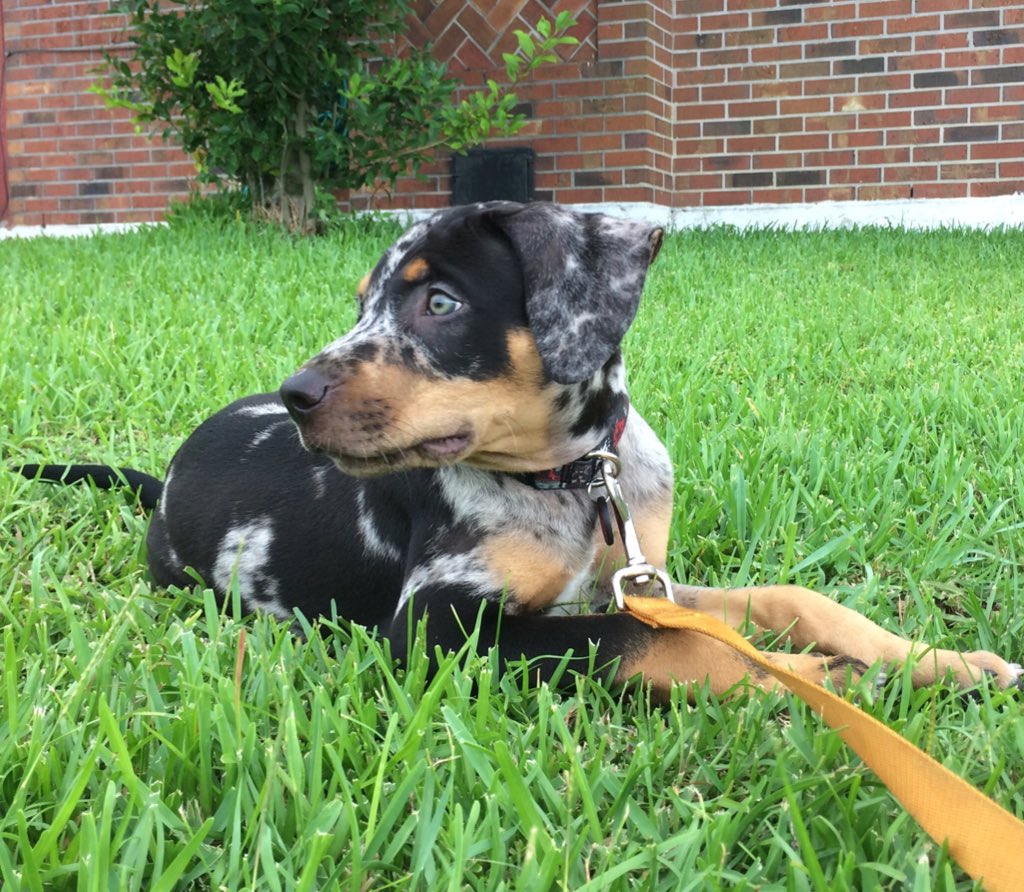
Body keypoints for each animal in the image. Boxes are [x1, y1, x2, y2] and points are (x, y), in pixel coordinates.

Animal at [18, 202, 1024, 696]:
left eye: (441, 302)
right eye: (363, 304)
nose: (298, 395)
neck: (571, 480)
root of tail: (165, 481)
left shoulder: (647, 578)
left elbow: (790, 599)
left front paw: (933, 663)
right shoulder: (436, 628)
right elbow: (645, 642)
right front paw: (833, 684)